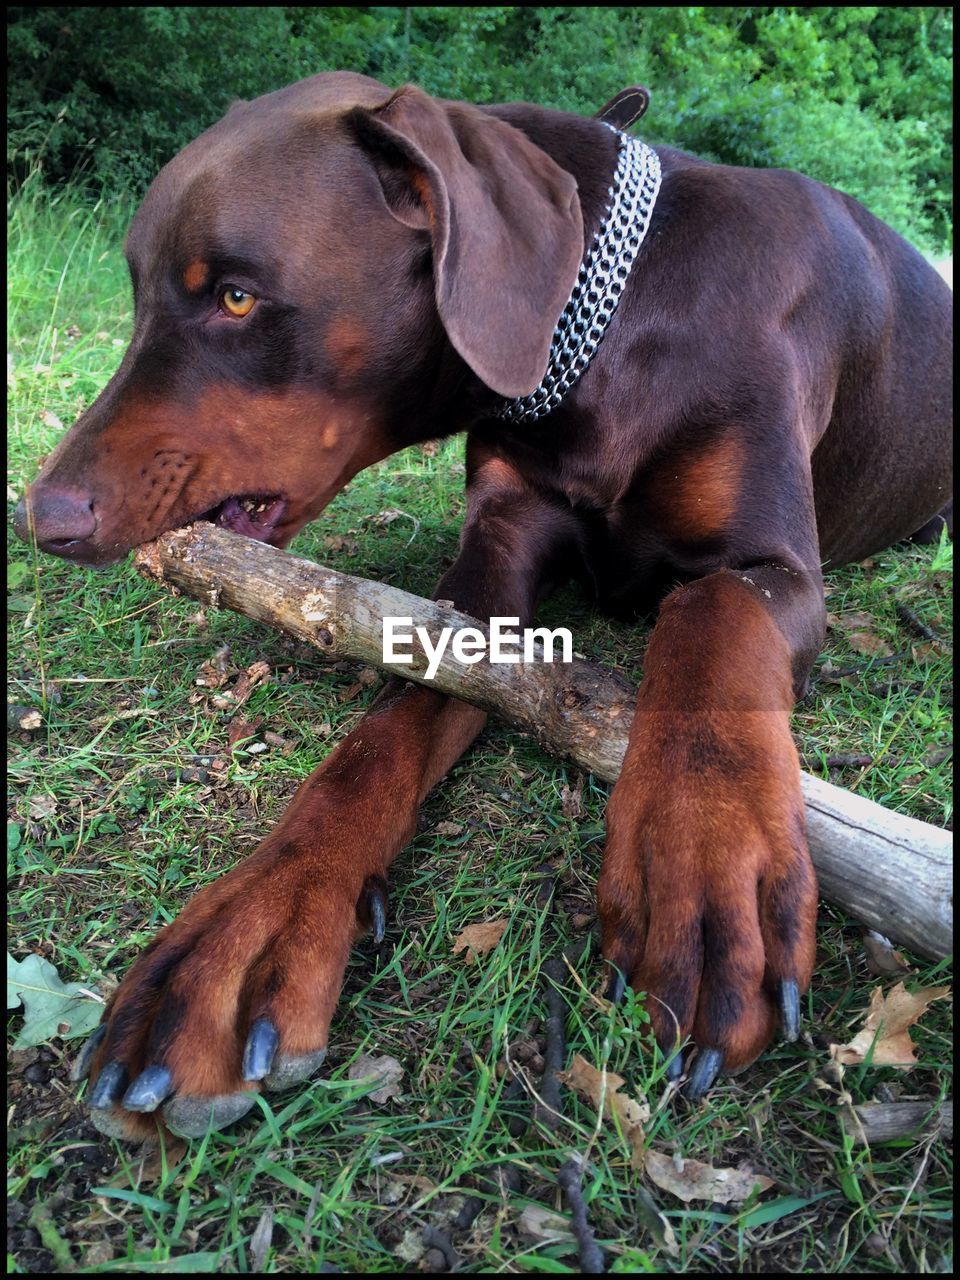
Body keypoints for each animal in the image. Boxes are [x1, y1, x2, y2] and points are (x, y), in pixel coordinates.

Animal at [15, 72, 957, 1141]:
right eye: (135, 293)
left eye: (237, 296)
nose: (42, 515)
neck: (607, 333)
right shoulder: (494, 559)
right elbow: (386, 724)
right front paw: (254, 920)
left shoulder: (777, 569)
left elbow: (711, 620)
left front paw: (706, 870)